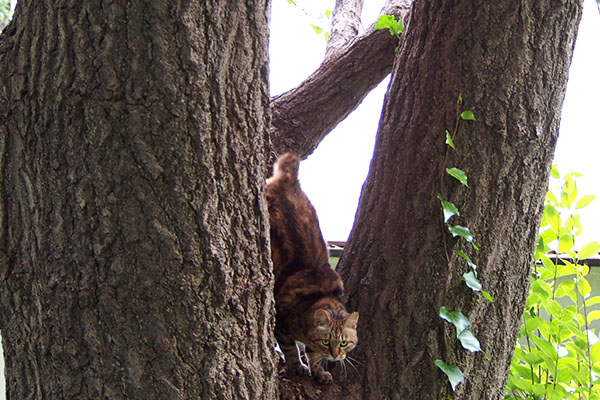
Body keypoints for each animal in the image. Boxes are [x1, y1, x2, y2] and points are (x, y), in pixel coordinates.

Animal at [266, 153, 356, 384]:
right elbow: (291, 349)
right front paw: (297, 366)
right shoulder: (281, 325)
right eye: (326, 341)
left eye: (344, 343)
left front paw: (318, 371)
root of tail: (289, 180)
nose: (335, 355)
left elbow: (313, 355)